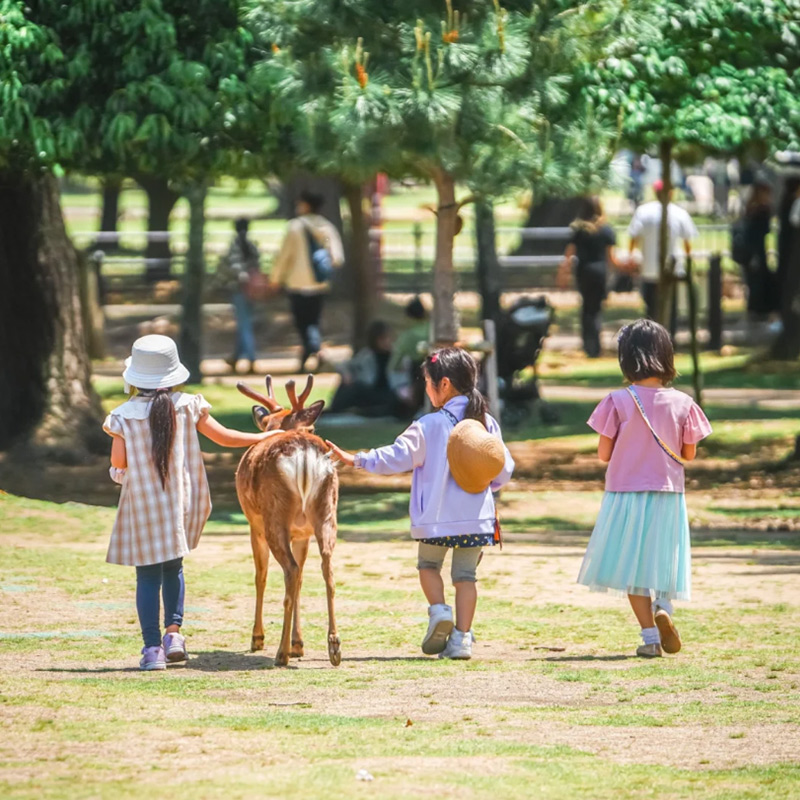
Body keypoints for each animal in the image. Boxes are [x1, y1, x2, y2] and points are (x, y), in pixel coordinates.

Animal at [234, 376, 340, 668]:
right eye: (312, 425)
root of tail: (303, 454)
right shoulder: (302, 533)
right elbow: (303, 578)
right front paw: (299, 644)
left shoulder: (254, 525)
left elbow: (260, 576)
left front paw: (257, 639)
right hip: (326, 512)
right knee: (326, 567)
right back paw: (334, 647)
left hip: (274, 516)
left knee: (289, 570)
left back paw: (280, 654)